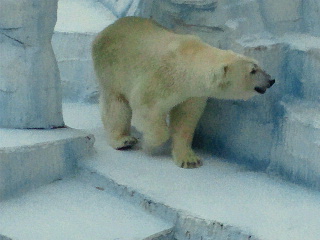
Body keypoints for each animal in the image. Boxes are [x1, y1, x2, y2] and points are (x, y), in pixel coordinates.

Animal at [90, 16, 276, 169]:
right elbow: (146, 108)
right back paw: (123, 140)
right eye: (253, 70)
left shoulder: (192, 93)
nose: (271, 80)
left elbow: (185, 118)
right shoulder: (159, 78)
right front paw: (149, 143)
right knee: (116, 103)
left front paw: (189, 159)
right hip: (113, 68)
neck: (187, 63)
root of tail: (109, 28)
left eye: (259, 65)